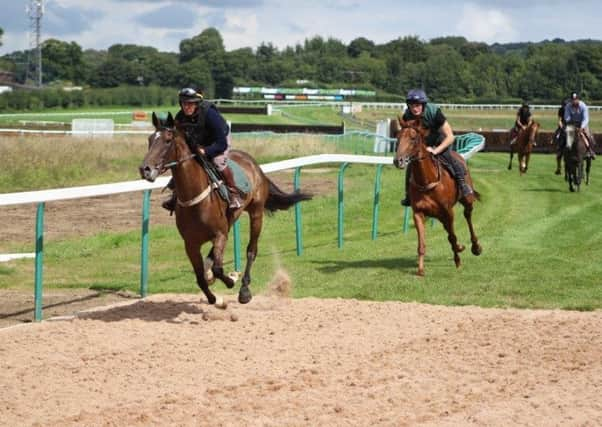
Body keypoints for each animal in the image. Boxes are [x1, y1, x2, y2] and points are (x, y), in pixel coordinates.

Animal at [139, 113, 312, 306]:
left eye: (168, 140)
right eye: (149, 139)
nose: (145, 169)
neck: (196, 199)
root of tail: (253, 163)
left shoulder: (219, 234)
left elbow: (218, 268)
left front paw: (231, 280)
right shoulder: (190, 243)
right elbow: (200, 277)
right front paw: (213, 297)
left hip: (256, 212)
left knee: (251, 250)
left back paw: (244, 289)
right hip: (230, 219)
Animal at [392, 118, 480, 278]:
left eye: (413, 138)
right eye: (398, 137)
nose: (398, 161)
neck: (427, 181)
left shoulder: (448, 211)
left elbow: (452, 236)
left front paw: (458, 261)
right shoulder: (418, 213)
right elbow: (422, 243)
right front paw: (420, 269)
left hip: (466, 199)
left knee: (467, 216)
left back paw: (476, 247)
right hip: (439, 214)